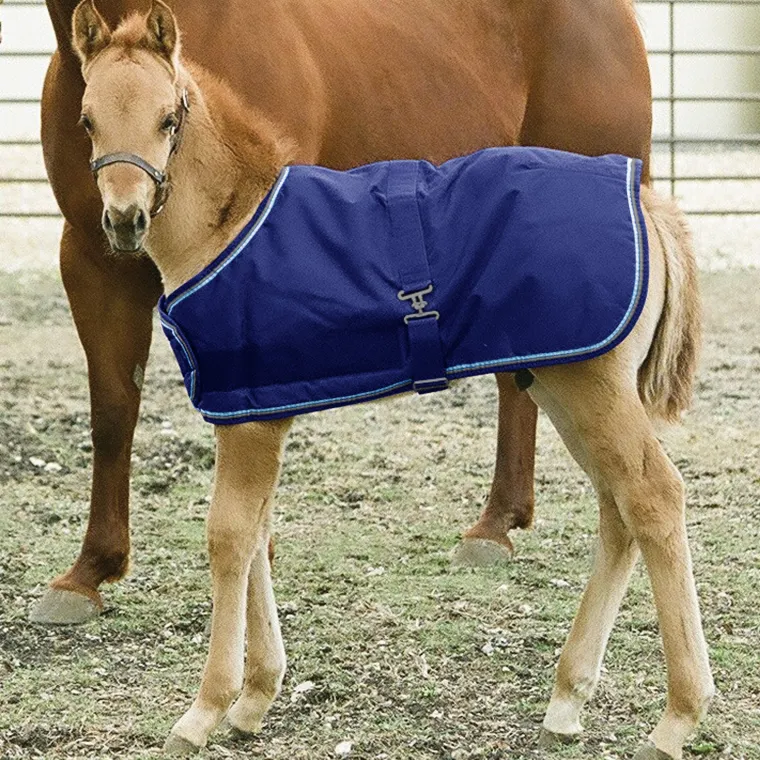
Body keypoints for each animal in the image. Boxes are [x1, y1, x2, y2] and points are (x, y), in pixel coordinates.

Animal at [71, 3, 712, 758]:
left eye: (169, 118)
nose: (124, 220)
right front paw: (256, 698)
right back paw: (567, 698)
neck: (231, 223)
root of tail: (646, 201)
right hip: (564, 385)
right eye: (87, 120)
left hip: (594, 387)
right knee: (619, 508)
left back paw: (677, 717)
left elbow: (229, 536)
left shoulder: (251, 419)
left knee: (655, 497)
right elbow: (257, 533)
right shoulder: (252, 410)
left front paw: (205, 709)